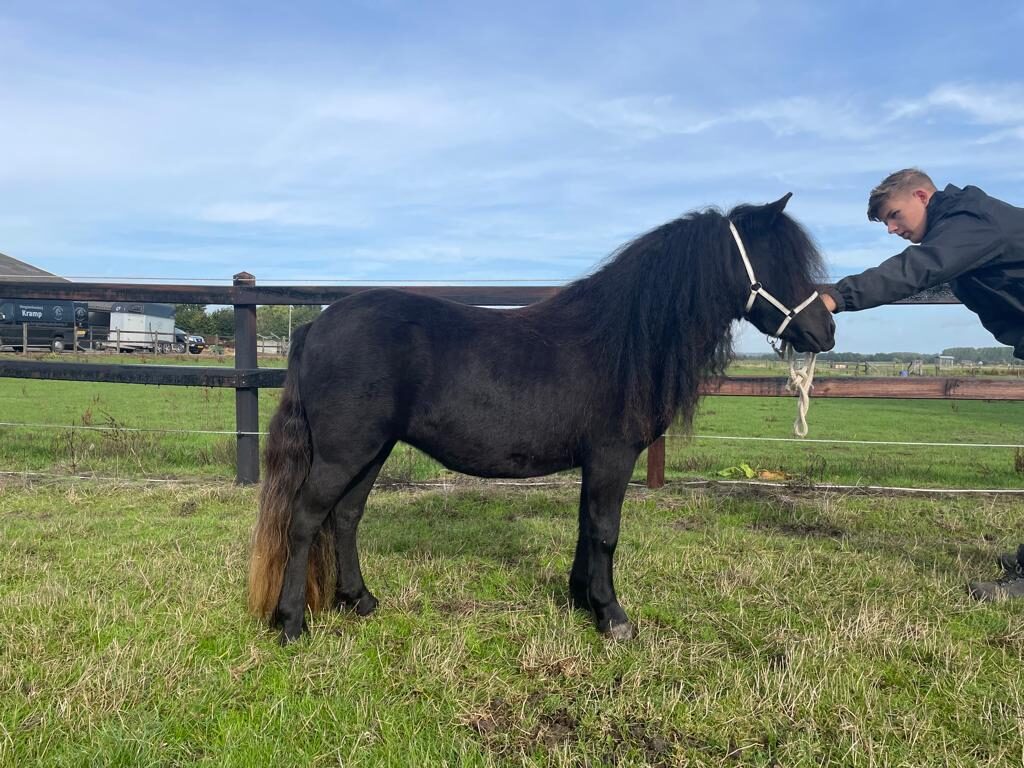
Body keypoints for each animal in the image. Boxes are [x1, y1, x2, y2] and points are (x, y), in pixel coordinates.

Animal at [248, 194, 835, 643]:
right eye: (780, 264)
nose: (826, 331)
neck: (622, 340)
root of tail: (315, 327)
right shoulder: (613, 457)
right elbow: (605, 531)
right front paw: (612, 617)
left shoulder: (595, 463)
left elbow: (586, 527)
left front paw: (582, 599)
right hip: (343, 451)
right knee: (305, 520)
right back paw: (292, 623)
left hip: (372, 449)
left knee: (346, 517)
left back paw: (360, 600)